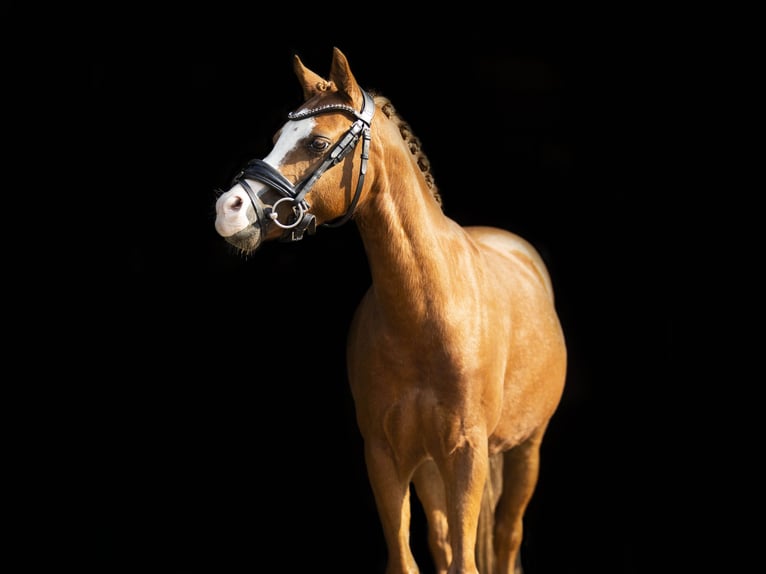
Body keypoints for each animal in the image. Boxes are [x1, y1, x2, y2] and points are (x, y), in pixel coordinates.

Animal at [213, 47, 568, 572]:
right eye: (277, 139)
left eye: (317, 143)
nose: (229, 209)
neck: (427, 313)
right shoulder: (386, 456)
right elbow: (410, 558)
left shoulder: (467, 454)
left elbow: (468, 561)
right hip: (429, 466)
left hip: (525, 449)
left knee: (506, 538)